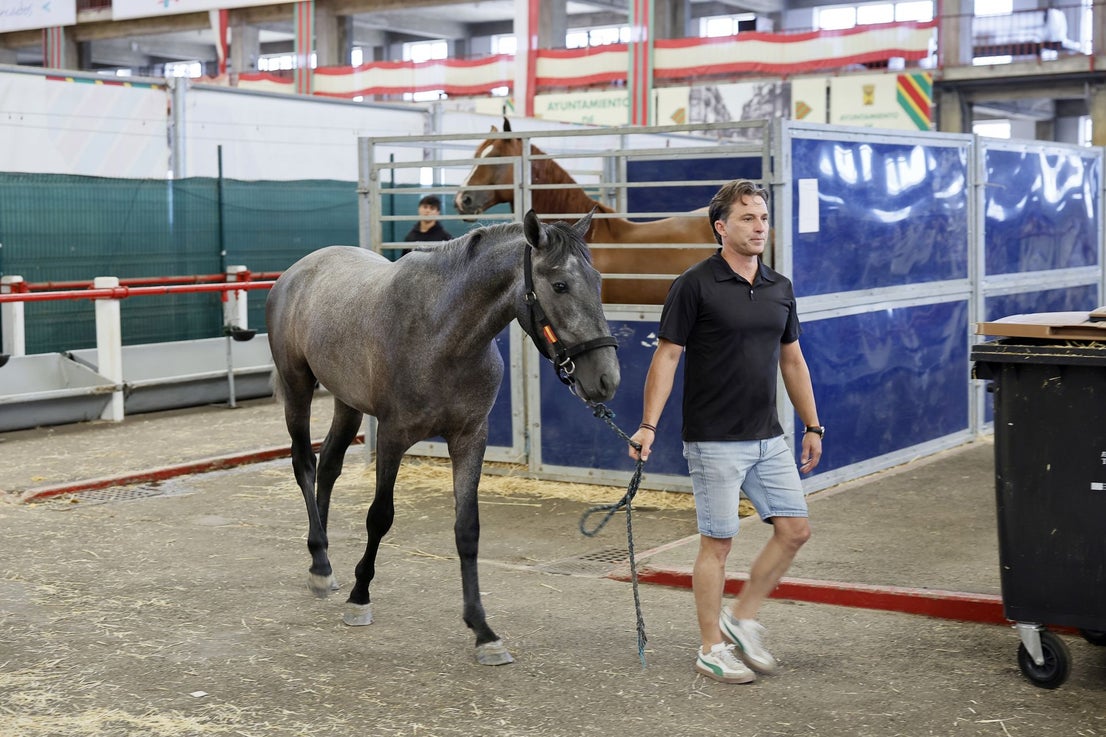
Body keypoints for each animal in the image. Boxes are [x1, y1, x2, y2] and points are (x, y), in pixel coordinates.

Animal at [266, 209, 619, 666]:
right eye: (560, 285)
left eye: (597, 280)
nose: (607, 379)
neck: (440, 333)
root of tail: (296, 272)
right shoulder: (393, 437)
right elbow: (379, 517)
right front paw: (361, 597)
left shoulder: (470, 439)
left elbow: (467, 529)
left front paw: (483, 630)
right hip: (298, 388)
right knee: (304, 465)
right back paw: (322, 566)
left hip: (346, 402)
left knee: (328, 467)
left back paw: (321, 557)